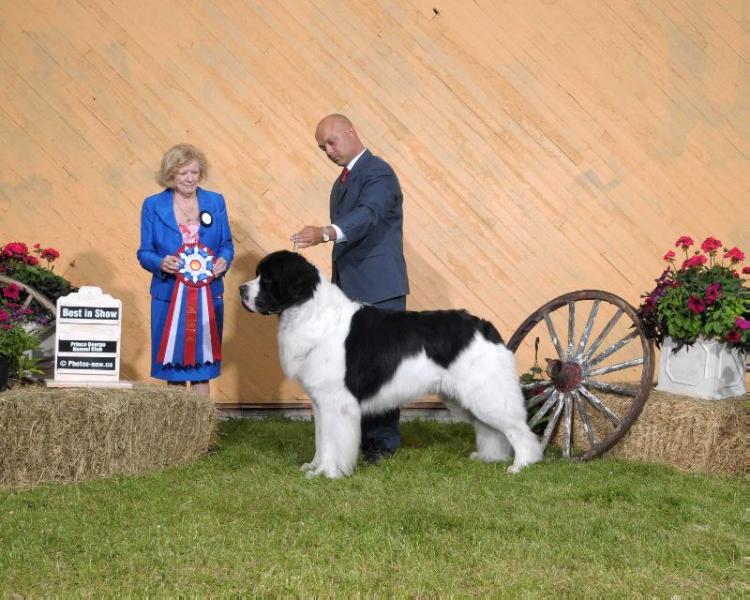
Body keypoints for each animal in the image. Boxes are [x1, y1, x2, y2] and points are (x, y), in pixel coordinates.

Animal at [244, 251, 544, 480]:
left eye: (267, 278)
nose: (240, 289)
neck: (308, 311)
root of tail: (486, 327)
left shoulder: (336, 403)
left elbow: (333, 440)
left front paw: (329, 473)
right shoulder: (320, 403)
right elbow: (321, 439)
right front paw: (314, 467)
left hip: (485, 392)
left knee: (520, 432)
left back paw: (522, 465)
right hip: (466, 396)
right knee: (490, 429)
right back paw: (489, 458)